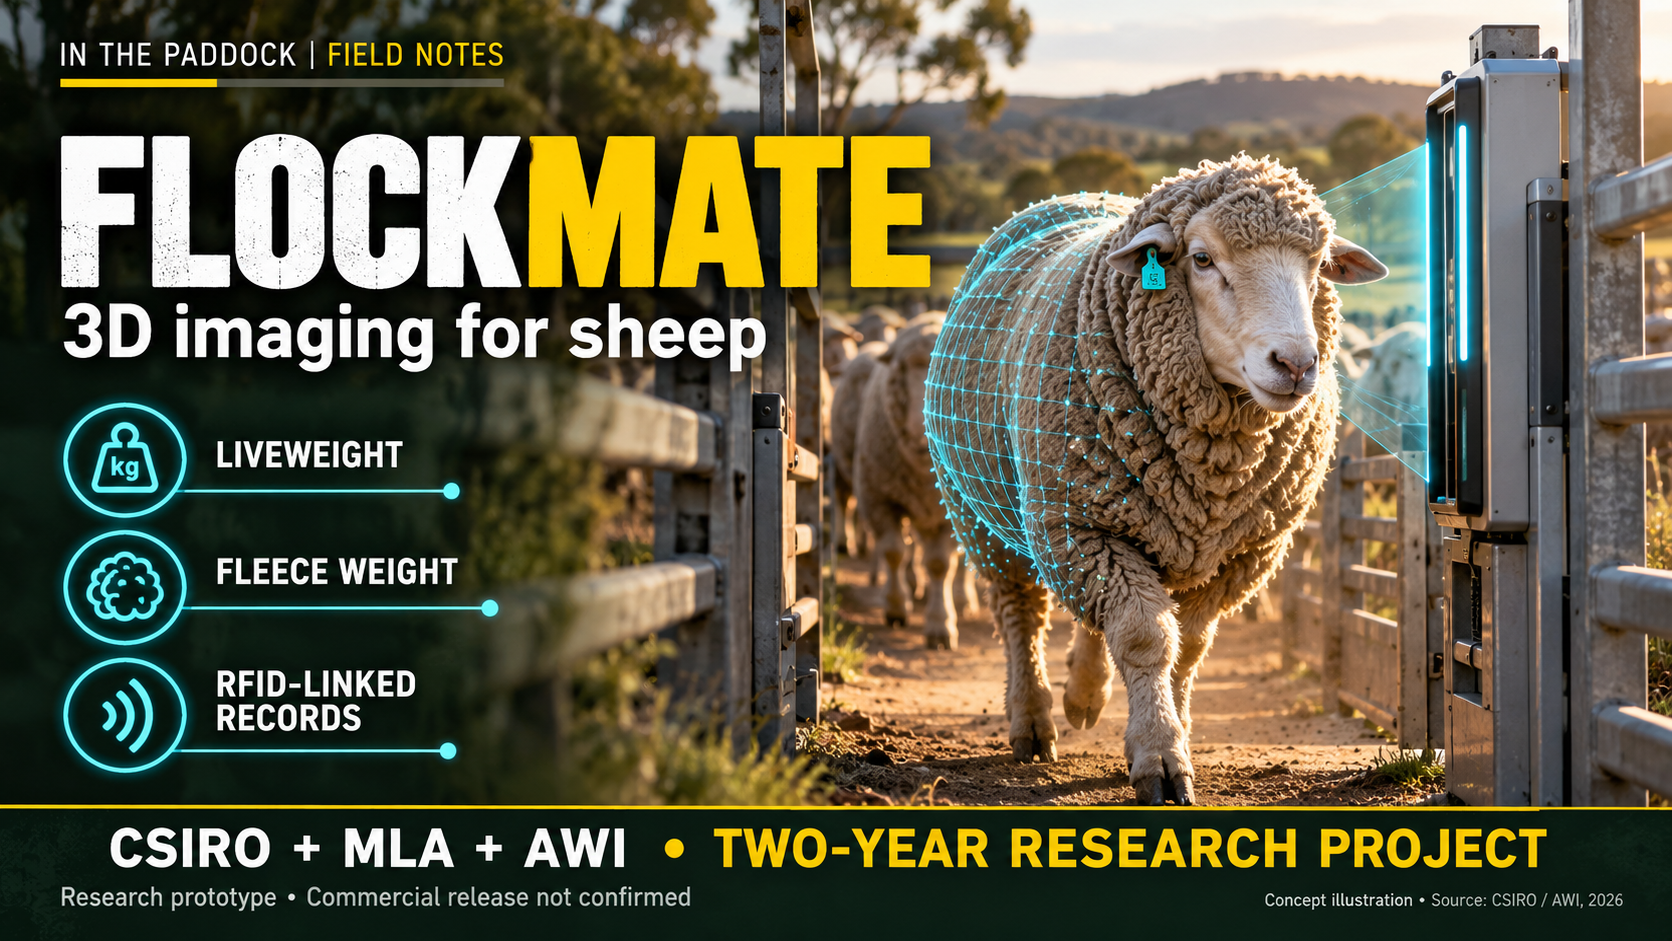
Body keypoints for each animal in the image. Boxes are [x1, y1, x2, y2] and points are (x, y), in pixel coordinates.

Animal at [853, 313, 968, 648]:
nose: (922, 428)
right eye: (902, 369)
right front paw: (895, 608)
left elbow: (940, 564)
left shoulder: (952, 511)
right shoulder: (878, 498)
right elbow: (894, 552)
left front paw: (940, 626)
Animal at [925, 156, 1387, 803]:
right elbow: (1145, 636)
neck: (1211, 470)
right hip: (991, 521)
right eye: (1202, 258)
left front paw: (1177, 732)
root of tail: (1076, 195)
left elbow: (1186, 649)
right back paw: (1033, 721)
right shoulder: (1080, 525)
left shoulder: (1238, 553)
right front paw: (1159, 757)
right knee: (1022, 614)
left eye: (1320, 265)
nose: (1296, 364)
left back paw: (1084, 695)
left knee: (1091, 617)